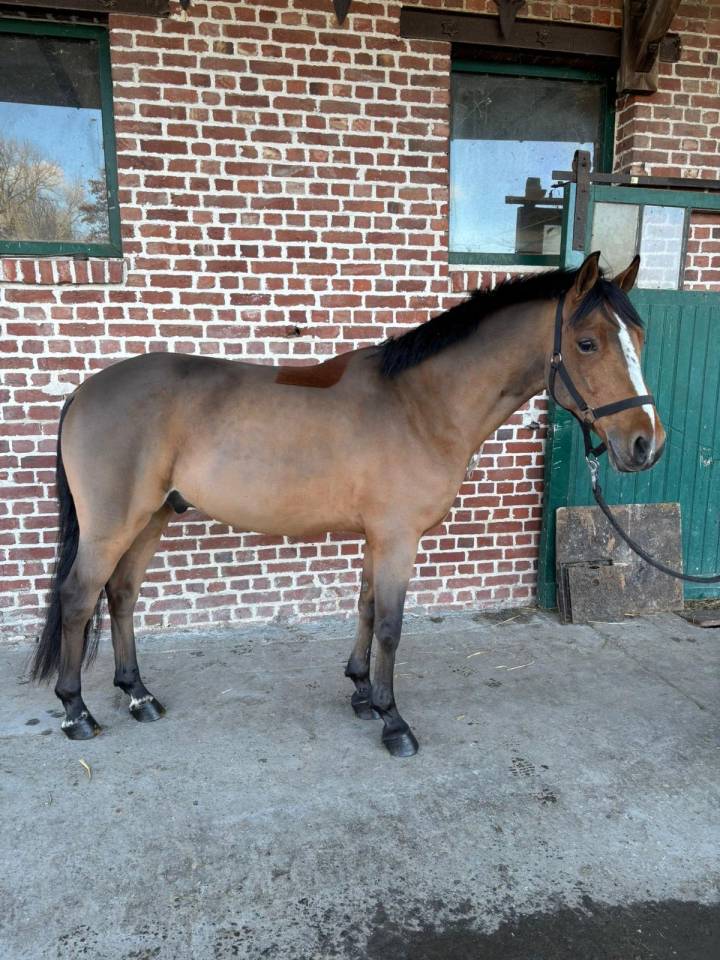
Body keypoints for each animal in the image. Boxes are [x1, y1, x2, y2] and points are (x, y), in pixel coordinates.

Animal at [31, 252, 665, 757]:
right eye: (587, 344)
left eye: (639, 340)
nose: (646, 444)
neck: (419, 404)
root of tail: (84, 390)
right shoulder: (398, 537)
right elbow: (389, 624)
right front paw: (392, 720)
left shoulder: (377, 536)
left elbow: (363, 609)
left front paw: (361, 691)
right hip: (113, 525)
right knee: (78, 598)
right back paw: (76, 711)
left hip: (153, 518)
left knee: (121, 596)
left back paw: (139, 695)